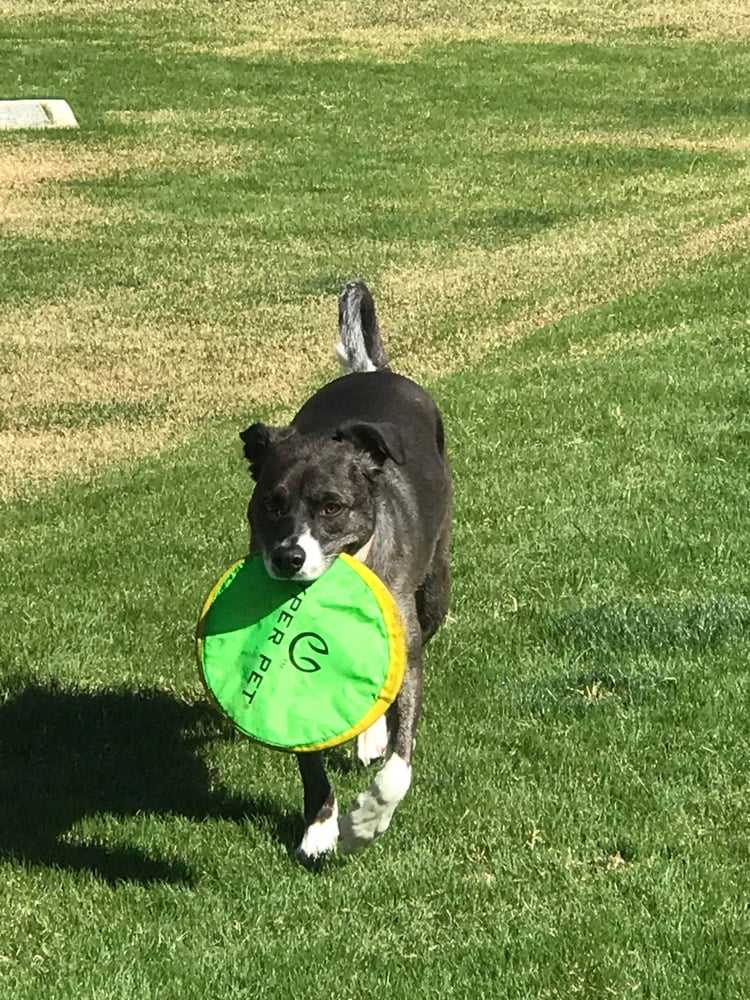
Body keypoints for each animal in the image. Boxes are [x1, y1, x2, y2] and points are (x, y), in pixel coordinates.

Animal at [241, 280, 452, 860]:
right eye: (270, 505)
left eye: (332, 506)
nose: (287, 558)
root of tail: (371, 371)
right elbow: (309, 761)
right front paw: (318, 827)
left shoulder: (409, 652)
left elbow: (399, 767)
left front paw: (366, 822)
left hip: (436, 590)